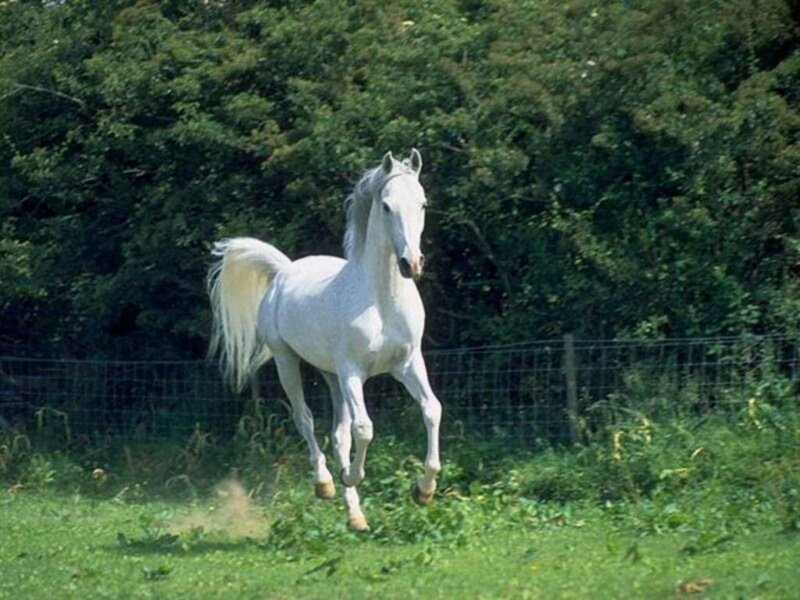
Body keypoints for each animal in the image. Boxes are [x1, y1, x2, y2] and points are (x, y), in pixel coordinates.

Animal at [208, 149, 441, 531]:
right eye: (386, 206)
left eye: (422, 203)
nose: (411, 264)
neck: (381, 300)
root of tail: (284, 271)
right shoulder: (353, 372)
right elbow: (365, 428)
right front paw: (351, 476)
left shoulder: (407, 364)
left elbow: (431, 410)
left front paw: (423, 490)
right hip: (288, 362)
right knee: (305, 419)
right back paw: (326, 483)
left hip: (330, 375)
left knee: (338, 434)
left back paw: (356, 516)